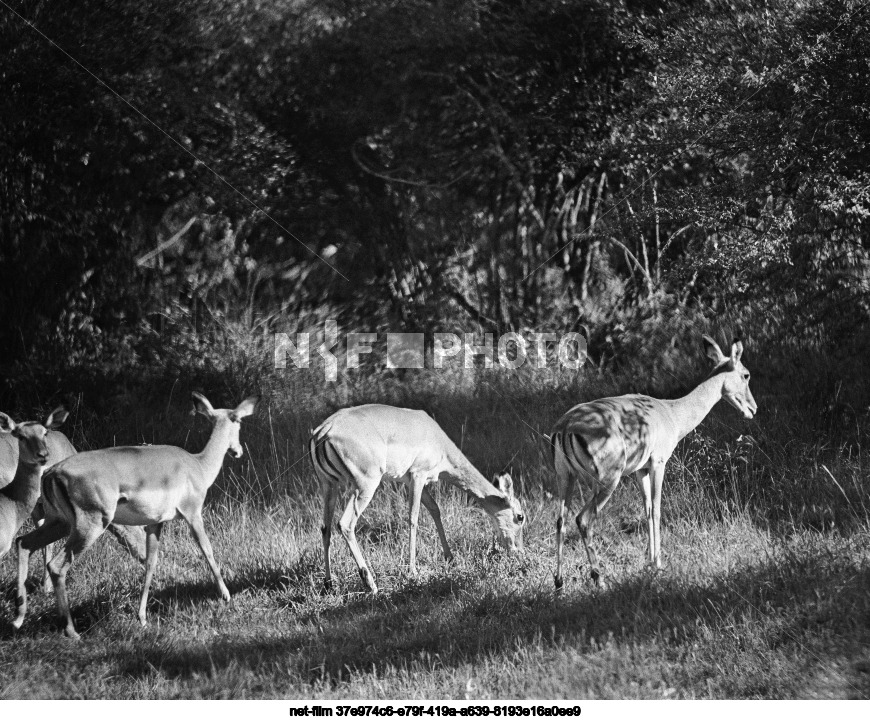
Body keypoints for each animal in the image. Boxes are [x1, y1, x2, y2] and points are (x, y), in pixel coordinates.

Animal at [11, 390, 258, 640]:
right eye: (237, 420)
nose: (237, 451)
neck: (198, 465)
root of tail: (52, 472)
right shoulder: (193, 514)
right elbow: (207, 550)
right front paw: (226, 595)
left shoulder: (155, 524)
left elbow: (150, 563)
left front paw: (142, 618)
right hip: (89, 527)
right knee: (56, 566)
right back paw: (71, 631)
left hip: (59, 523)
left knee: (23, 543)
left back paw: (18, 619)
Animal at [310, 402, 528, 592]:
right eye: (520, 516)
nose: (519, 551)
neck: (438, 440)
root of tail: (324, 430)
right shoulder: (418, 475)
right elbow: (413, 518)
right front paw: (413, 570)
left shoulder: (414, 481)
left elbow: (434, 509)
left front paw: (450, 557)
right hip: (365, 486)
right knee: (345, 524)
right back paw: (370, 584)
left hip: (329, 485)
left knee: (325, 528)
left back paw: (329, 584)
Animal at [552, 334, 756, 588]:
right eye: (746, 374)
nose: (753, 408)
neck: (671, 412)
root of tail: (567, 425)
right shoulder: (659, 463)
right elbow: (658, 510)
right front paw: (658, 565)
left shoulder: (641, 471)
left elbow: (647, 510)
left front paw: (650, 562)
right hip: (608, 482)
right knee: (584, 519)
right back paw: (600, 580)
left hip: (566, 478)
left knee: (560, 520)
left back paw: (559, 582)